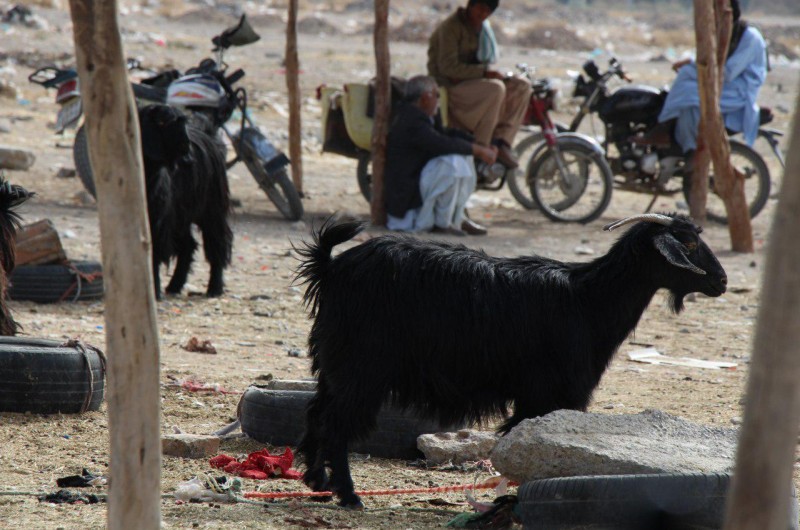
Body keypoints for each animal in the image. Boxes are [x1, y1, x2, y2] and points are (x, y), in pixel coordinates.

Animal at [137, 103, 231, 296]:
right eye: (163, 122)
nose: (189, 157)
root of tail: (210, 136)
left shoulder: (159, 220)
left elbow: (154, 252)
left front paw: (154, 291)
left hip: (212, 208)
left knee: (217, 243)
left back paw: (214, 288)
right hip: (181, 215)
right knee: (188, 245)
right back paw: (174, 285)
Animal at [296, 210, 732, 504]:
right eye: (689, 244)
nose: (722, 281)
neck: (588, 299)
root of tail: (331, 268)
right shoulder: (545, 393)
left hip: (334, 365)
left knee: (316, 413)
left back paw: (317, 482)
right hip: (362, 367)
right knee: (336, 424)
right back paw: (349, 495)